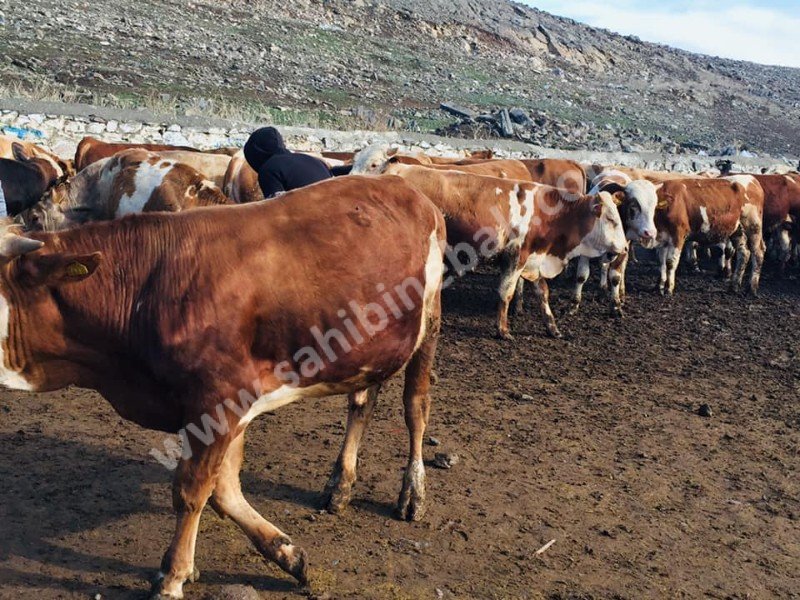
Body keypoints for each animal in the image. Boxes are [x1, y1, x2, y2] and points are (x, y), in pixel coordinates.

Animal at [0, 173, 446, 596]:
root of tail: (403, 185)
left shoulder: (218, 399)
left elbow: (193, 490)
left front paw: (172, 577)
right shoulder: (223, 407)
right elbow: (224, 491)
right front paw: (287, 554)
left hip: (429, 322)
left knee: (415, 408)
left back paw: (413, 492)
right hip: (370, 348)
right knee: (363, 401)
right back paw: (341, 483)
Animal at [378, 158, 628, 338]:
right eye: (612, 220)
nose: (625, 248)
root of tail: (395, 167)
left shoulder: (534, 259)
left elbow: (543, 293)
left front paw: (553, 328)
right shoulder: (516, 256)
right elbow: (506, 292)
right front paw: (503, 330)